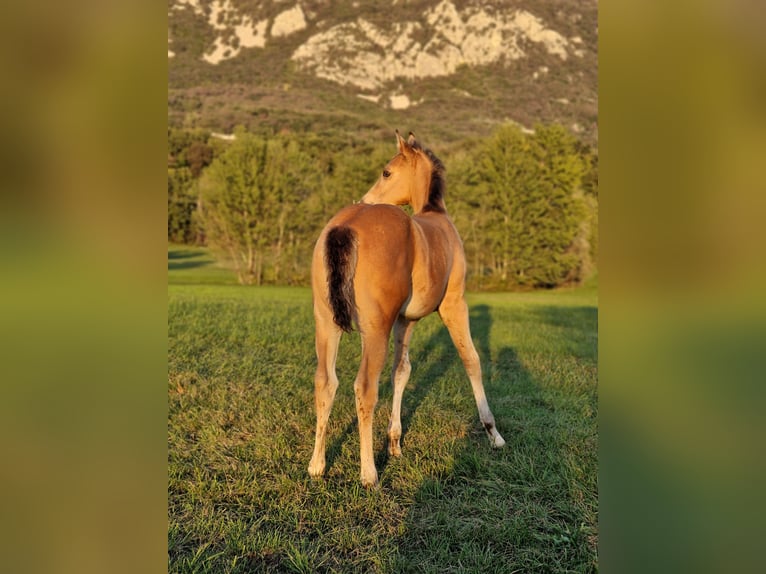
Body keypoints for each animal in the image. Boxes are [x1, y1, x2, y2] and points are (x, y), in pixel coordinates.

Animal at [308, 132, 508, 490]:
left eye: (386, 172)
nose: (364, 198)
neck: (435, 215)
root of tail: (346, 225)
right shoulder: (454, 304)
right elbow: (471, 359)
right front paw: (493, 433)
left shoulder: (406, 319)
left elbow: (402, 371)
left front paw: (395, 442)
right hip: (375, 330)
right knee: (364, 388)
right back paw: (369, 474)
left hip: (327, 323)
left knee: (325, 382)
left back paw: (317, 466)